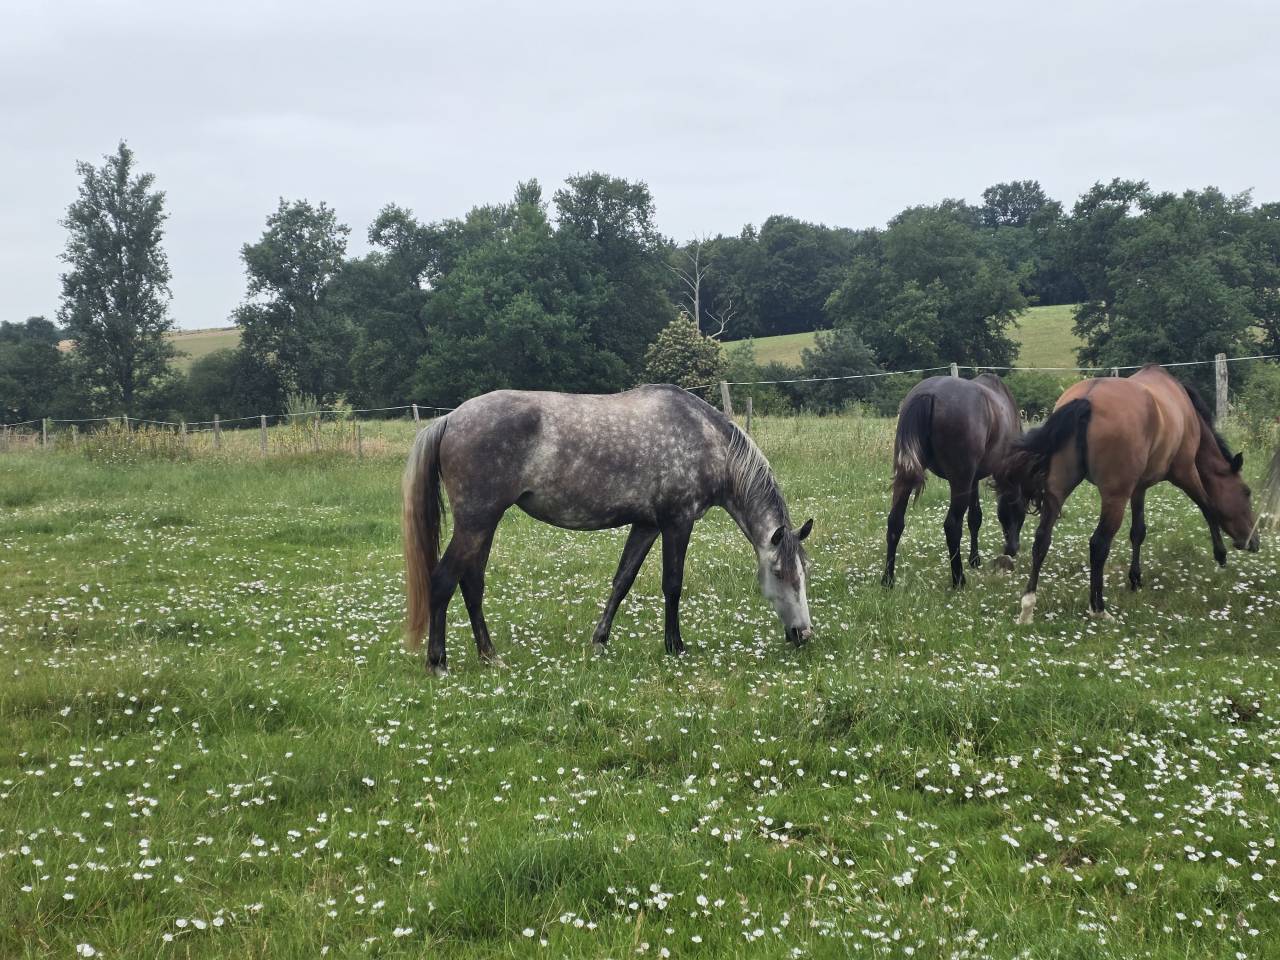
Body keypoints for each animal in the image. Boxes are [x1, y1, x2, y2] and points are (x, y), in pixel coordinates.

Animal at [402, 384, 814, 675]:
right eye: (779, 572)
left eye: (804, 573)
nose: (804, 635)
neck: (705, 439)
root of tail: (450, 419)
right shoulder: (676, 523)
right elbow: (672, 584)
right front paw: (675, 646)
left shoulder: (647, 525)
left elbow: (622, 581)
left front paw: (600, 641)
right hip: (476, 522)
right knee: (443, 581)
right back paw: (438, 663)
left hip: (483, 525)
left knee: (472, 585)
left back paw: (490, 657)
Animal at [882, 373, 1027, 588]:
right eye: (1021, 509)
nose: (1012, 550)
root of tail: (929, 393)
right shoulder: (971, 480)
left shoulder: (974, 480)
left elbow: (975, 518)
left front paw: (974, 559)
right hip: (959, 481)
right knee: (952, 526)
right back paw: (958, 580)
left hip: (906, 476)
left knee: (895, 521)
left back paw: (888, 580)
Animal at [996, 364, 1259, 624]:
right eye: (1246, 492)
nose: (1253, 542)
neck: (1185, 411)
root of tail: (1087, 399)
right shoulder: (1185, 473)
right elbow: (1208, 508)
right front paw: (1221, 556)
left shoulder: (1139, 488)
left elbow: (1138, 532)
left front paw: (1135, 578)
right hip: (1115, 497)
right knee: (1099, 544)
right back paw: (1098, 608)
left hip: (1058, 491)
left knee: (1042, 539)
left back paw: (1027, 608)